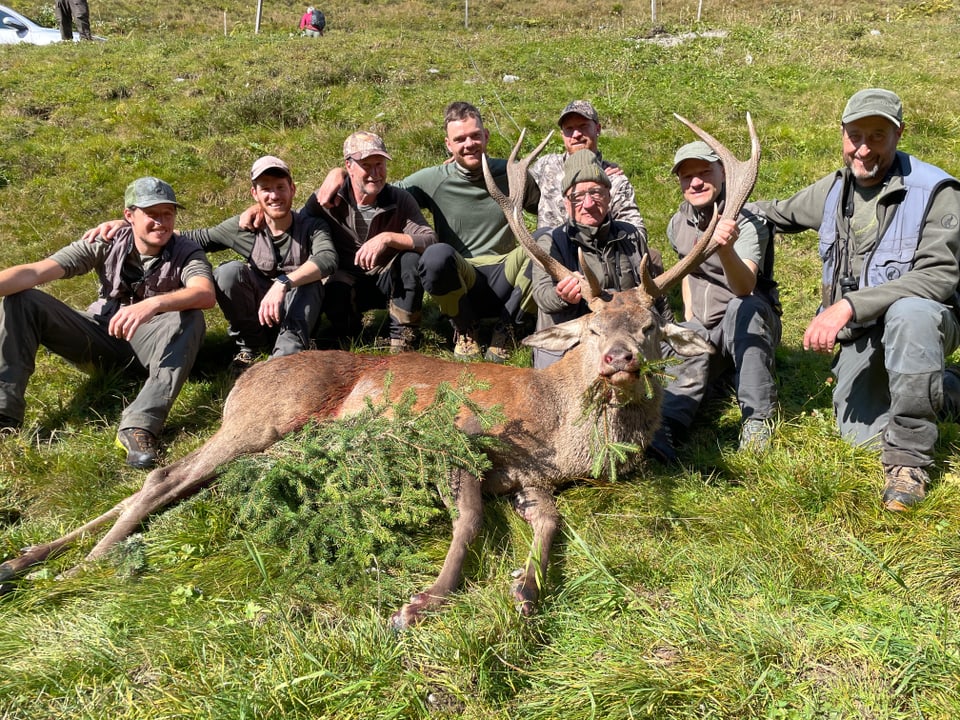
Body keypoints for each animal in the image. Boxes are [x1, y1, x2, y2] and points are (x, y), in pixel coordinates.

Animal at [0, 112, 760, 624]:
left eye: (652, 329)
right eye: (595, 327)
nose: (618, 359)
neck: (557, 431)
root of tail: (244, 380)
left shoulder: (531, 477)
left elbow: (547, 525)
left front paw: (524, 591)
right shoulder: (460, 436)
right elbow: (469, 517)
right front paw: (426, 599)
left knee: (176, 484)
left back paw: (26, 557)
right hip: (267, 417)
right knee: (164, 475)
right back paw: (90, 559)